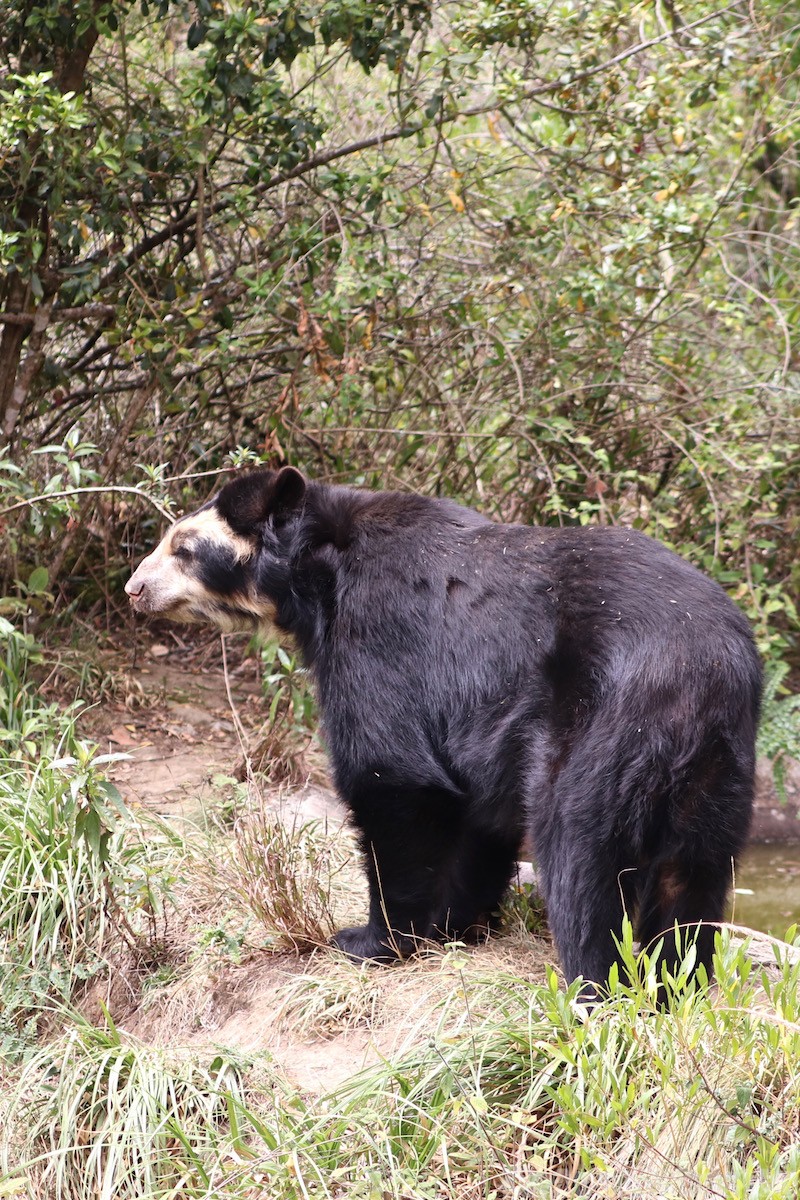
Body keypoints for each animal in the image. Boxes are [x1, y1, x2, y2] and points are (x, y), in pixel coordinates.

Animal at [125, 466, 762, 995]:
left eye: (183, 548)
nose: (134, 588)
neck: (318, 572)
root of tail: (708, 670)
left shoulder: (378, 637)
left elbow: (393, 776)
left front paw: (370, 940)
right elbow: (477, 811)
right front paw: (457, 924)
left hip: (605, 726)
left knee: (580, 847)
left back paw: (593, 985)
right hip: (719, 768)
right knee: (692, 872)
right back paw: (679, 981)